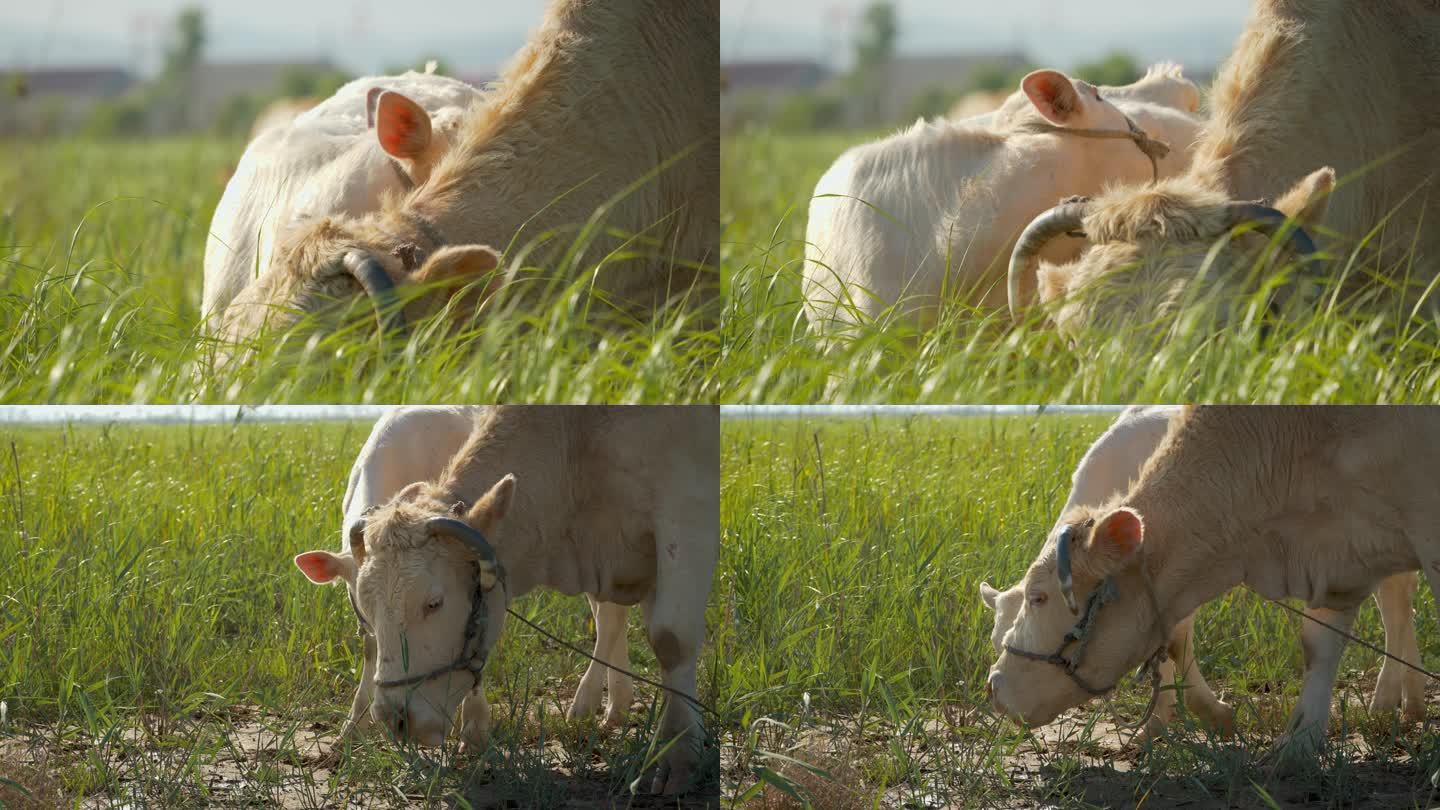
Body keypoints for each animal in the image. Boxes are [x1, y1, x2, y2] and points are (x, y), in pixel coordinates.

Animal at [295, 403, 720, 789]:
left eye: (434, 603)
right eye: (366, 611)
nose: (397, 719)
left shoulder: (686, 511)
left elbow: (671, 638)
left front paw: (678, 756)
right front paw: (352, 731)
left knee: (613, 621)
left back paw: (592, 705)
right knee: (610, 617)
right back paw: (613, 704)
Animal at [990, 406, 1440, 760]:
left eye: (1039, 598)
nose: (994, 686)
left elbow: (1174, 643)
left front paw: (1206, 717)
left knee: (1396, 601)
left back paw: (1394, 698)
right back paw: (1406, 699)